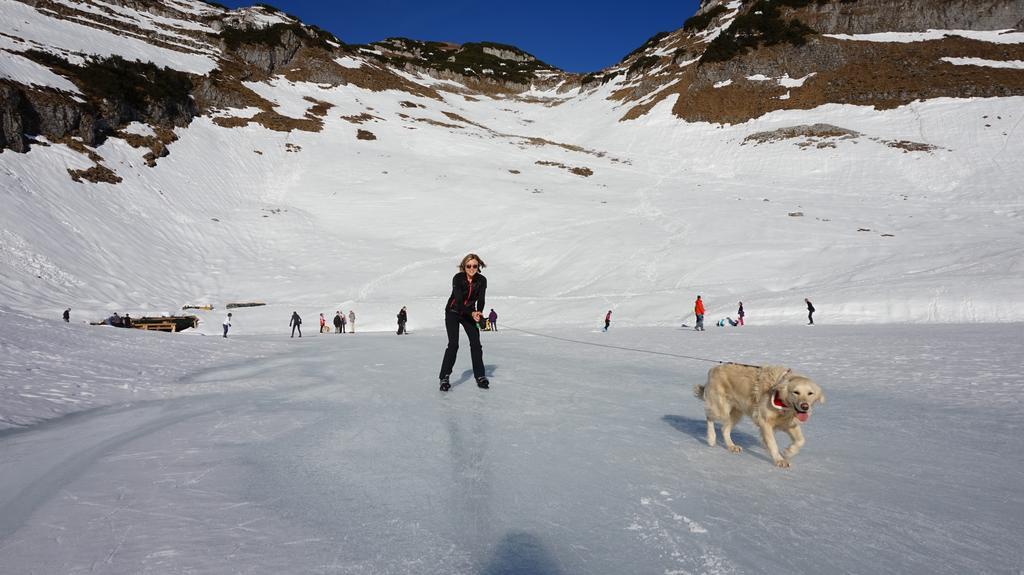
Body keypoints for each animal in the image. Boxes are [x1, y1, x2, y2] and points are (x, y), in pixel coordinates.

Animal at [688, 362, 823, 466]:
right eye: (796, 392)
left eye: (810, 393)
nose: (805, 407)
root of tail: (713, 369)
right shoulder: (765, 422)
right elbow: (772, 443)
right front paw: (779, 460)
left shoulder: (789, 423)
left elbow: (801, 440)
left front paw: (789, 451)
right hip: (721, 409)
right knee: (709, 417)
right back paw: (711, 438)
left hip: (736, 413)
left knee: (724, 429)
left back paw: (732, 446)